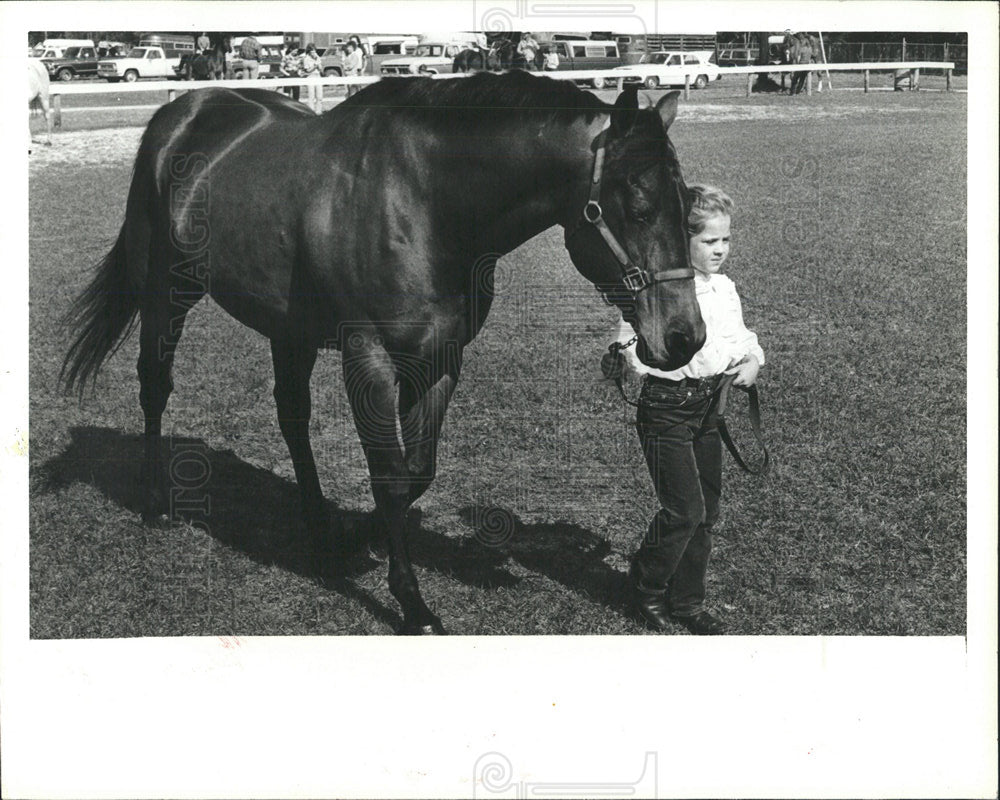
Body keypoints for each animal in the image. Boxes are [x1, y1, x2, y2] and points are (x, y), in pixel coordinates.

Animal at [62, 75, 704, 636]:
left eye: (687, 203)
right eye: (639, 207)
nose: (685, 337)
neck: (423, 204)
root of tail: (183, 112)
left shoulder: (440, 359)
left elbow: (415, 472)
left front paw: (355, 539)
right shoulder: (368, 360)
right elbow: (391, 476)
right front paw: (412, 603)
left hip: (287, 328)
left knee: (292, 415)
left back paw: (320, 527)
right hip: (165, 290)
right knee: (154, 384)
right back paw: (155, 504)